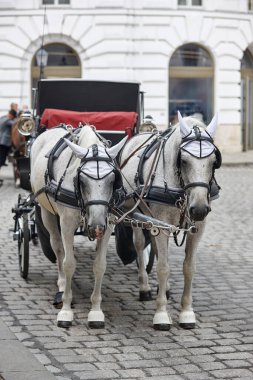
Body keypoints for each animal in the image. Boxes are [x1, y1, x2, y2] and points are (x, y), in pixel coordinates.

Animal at [30, 126, 126, 328]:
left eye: (113, 181)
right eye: (81, 181)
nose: (96, 226)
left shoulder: (108, 224)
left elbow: (100, 265)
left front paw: (96, 311)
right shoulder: (66, 223)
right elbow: (69, 264)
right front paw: (66, 310)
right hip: (47, 211)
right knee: (58, 247)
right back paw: (61, 284)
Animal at [118, 111, 221, 332]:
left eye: (213, 161)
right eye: (184, 161)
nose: (199, 208)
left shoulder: (198, 227)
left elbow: (189, 267)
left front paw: (187, 313)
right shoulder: (161, 225)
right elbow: (163, 268)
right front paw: (161, 315)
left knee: (156, 249)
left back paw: (163, 289)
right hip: (137, 213)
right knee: (140, 245)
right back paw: (145, 287)